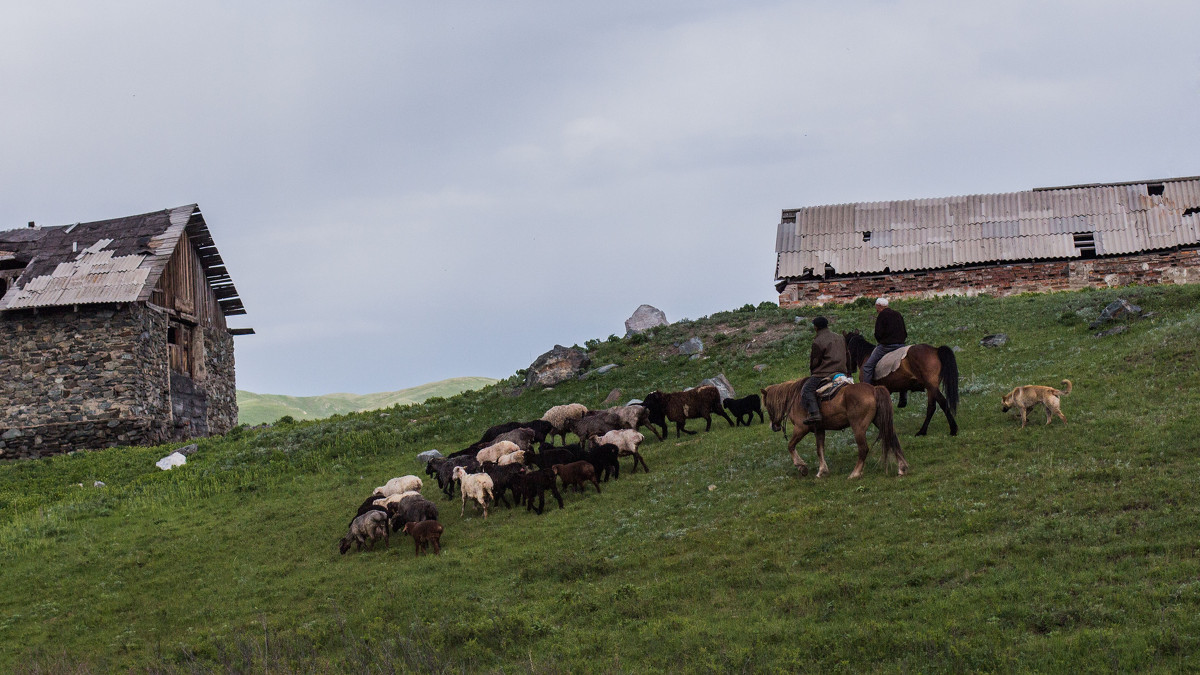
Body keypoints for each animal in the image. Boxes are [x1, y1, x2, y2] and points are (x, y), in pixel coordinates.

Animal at [758, 374, 907, 475]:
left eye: (767, 406)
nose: (774, 426)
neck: (795, 398)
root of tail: (874, 390)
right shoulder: (819, 430)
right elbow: (819, 450)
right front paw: (822, 471)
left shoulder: (801, 428)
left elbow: (790, 446)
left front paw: (801, 466)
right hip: (880, 421)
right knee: (892, 438)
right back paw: (902, 467)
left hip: (858, 427)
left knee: (864, 448)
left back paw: (855, 473)